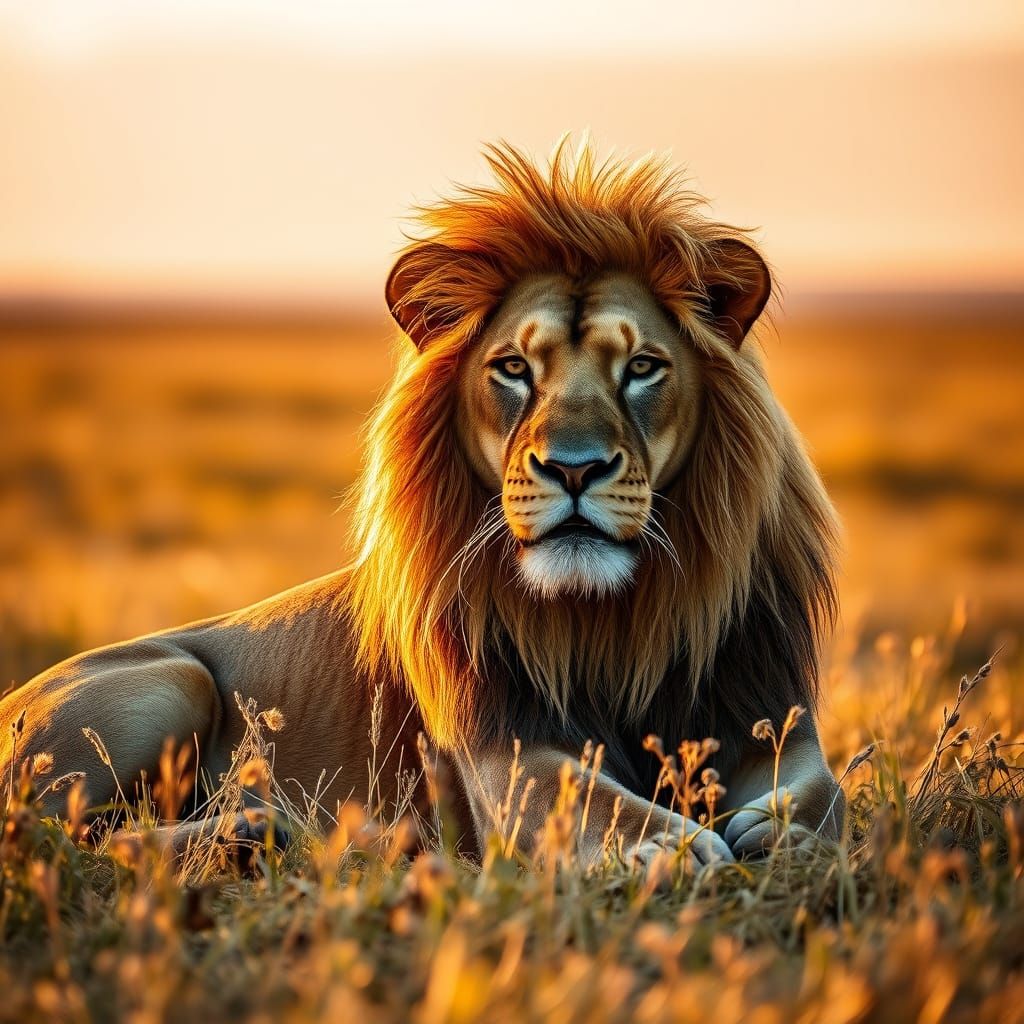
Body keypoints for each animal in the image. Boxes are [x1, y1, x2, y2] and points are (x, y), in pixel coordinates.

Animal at [2, 140, 843, 868]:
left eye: (641, 366)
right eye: (512, 368)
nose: (573, 468)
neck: (614, 623)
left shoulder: (767, 718)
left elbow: (821, 793)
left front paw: (789, 835)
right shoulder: (502, 748)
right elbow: (584, 796)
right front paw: (661, 845)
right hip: (171, 681)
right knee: (58, 837)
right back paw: (278, 833)